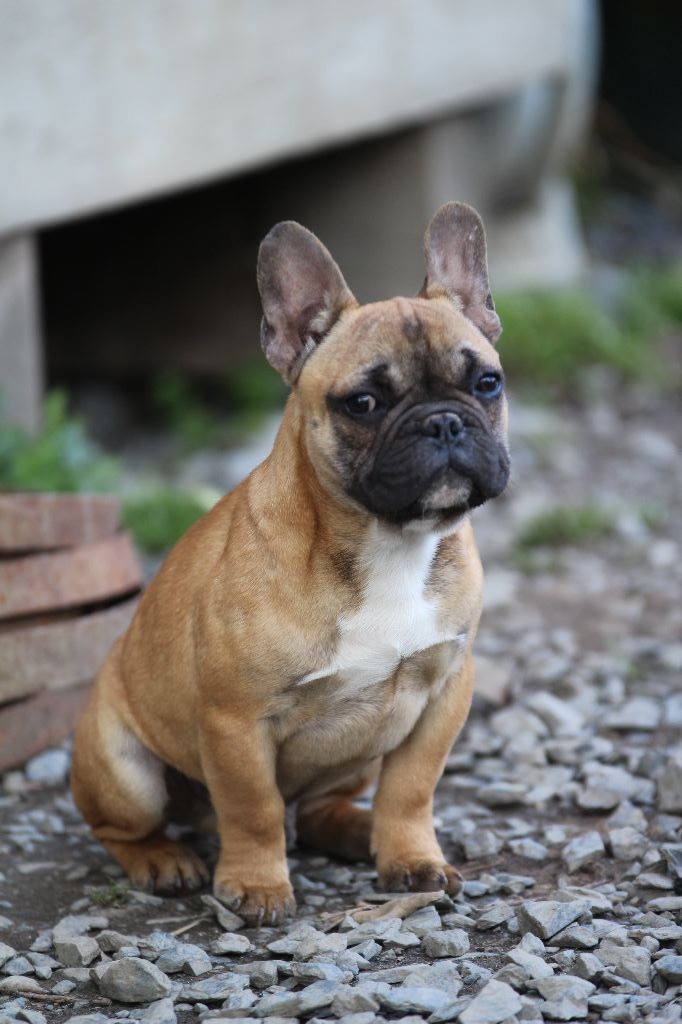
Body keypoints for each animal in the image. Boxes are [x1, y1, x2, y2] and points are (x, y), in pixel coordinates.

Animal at [73, 203, 509, 925]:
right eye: (363, 403)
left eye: (487, 383)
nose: (445, 422)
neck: (390, 542)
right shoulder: (237, 720)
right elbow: (253, 810)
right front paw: (256, 885)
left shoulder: (446, 688)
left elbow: (411, 788)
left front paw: (410, 858)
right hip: (125, 770)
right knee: (127, 827)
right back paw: (163, 860)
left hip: (359, 752)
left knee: (321, 805)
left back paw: (359, 830)